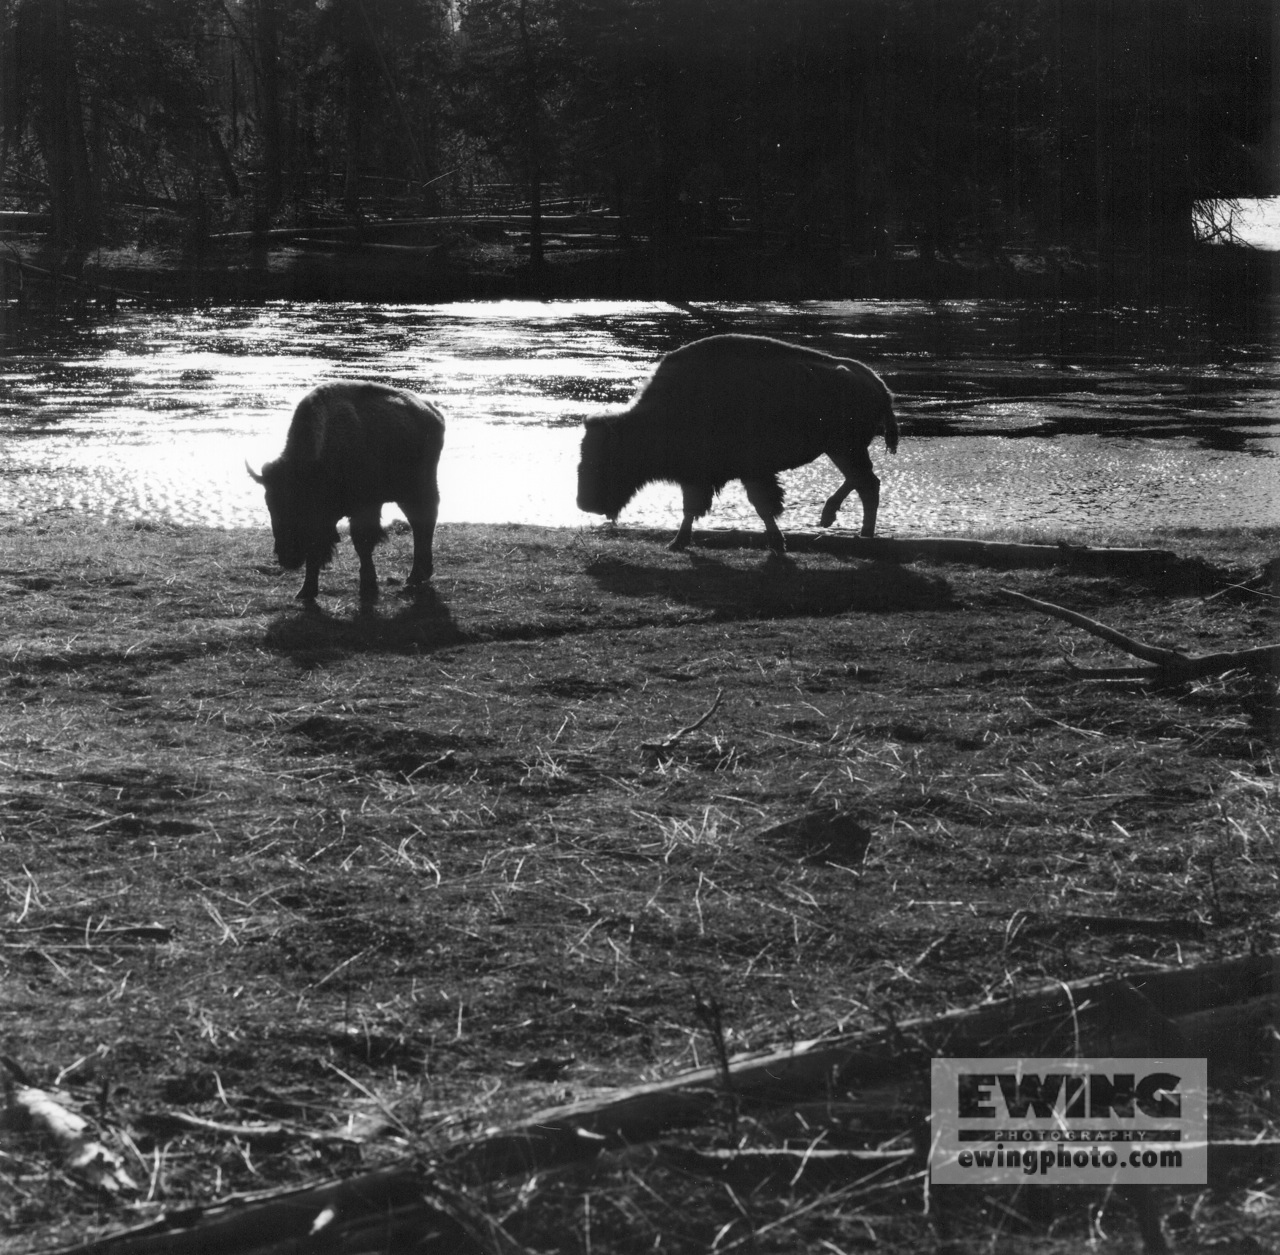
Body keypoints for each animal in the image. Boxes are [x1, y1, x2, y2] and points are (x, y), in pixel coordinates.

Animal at [248, 379, 445, 599]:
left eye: (302, 504)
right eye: (270, 505)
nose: (287, 558)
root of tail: (432, 411)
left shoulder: (364, 508)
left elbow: (362, 543)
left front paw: (368, 586)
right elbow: (316, 551)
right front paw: (306, 591)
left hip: (417, 490)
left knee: (423, 523)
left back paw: (416, 576)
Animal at [576, 332, 896, 553]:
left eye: (605, 458)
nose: (583, 503)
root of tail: (877, 382)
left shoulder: (746, 473)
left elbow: (761, 506)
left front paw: (777, 544)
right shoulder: (701, 477)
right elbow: (694, 509)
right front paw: (678, 542)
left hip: (846, 448)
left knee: (866, 483)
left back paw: (857, 531)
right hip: (841, 449)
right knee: (865, 481)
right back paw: (842, 523)